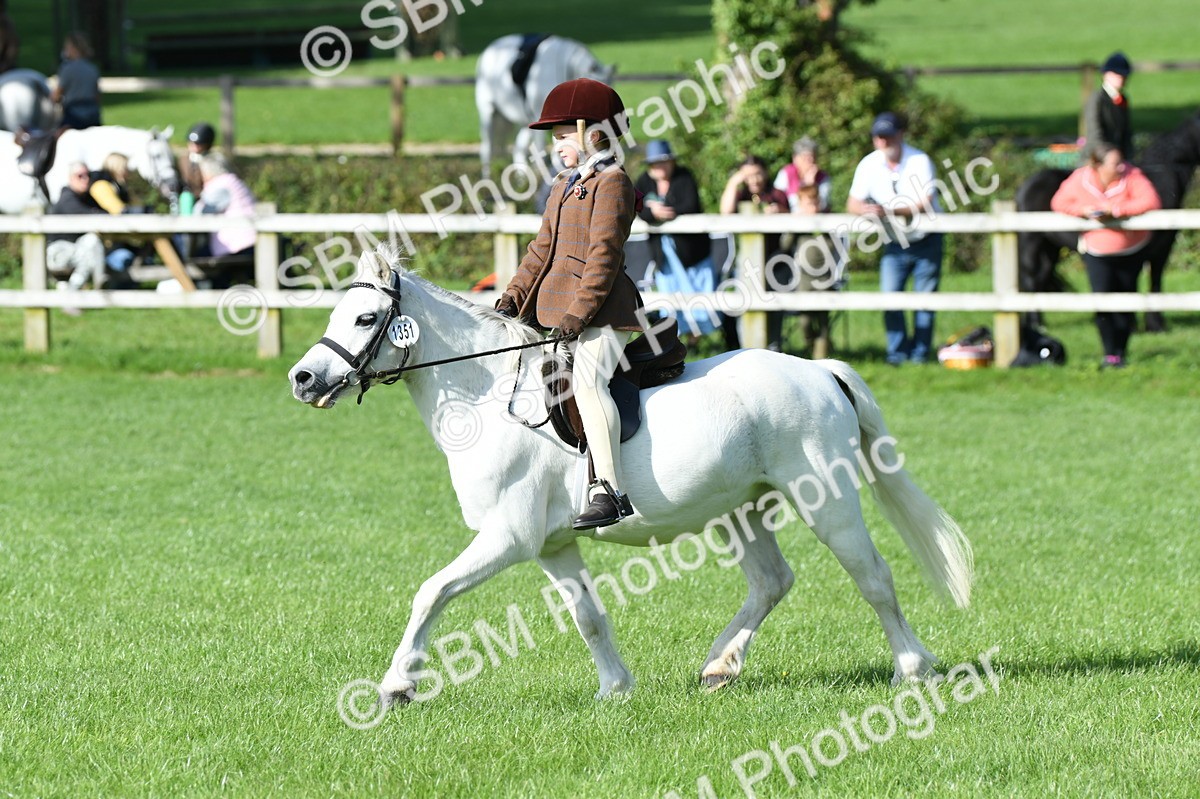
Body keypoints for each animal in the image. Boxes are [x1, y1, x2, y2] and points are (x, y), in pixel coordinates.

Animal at [288, 247, 974, 707]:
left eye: (364, 318)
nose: (303, 379)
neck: (487, 394)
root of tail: (819, 370)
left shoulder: (508, 537)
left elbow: (431, 592)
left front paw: (394, 686)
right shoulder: (552, 544)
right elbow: (588, 615)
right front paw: (615, 689)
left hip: (826, 500)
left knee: (873, 576)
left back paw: (912, 668)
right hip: (742, 508)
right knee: (772, 580)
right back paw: (720, 666)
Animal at [1016, 110, 1200, 331]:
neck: (1160, 183)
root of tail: (1025, 186)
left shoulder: (1159, 249)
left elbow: (1150, 282)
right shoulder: (1150, 251)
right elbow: (1141, 285)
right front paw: (1149, 325)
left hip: (1050, 247)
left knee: (1040, 279)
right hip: (1031, 244)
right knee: (1030, 280)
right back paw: (1035, 323)